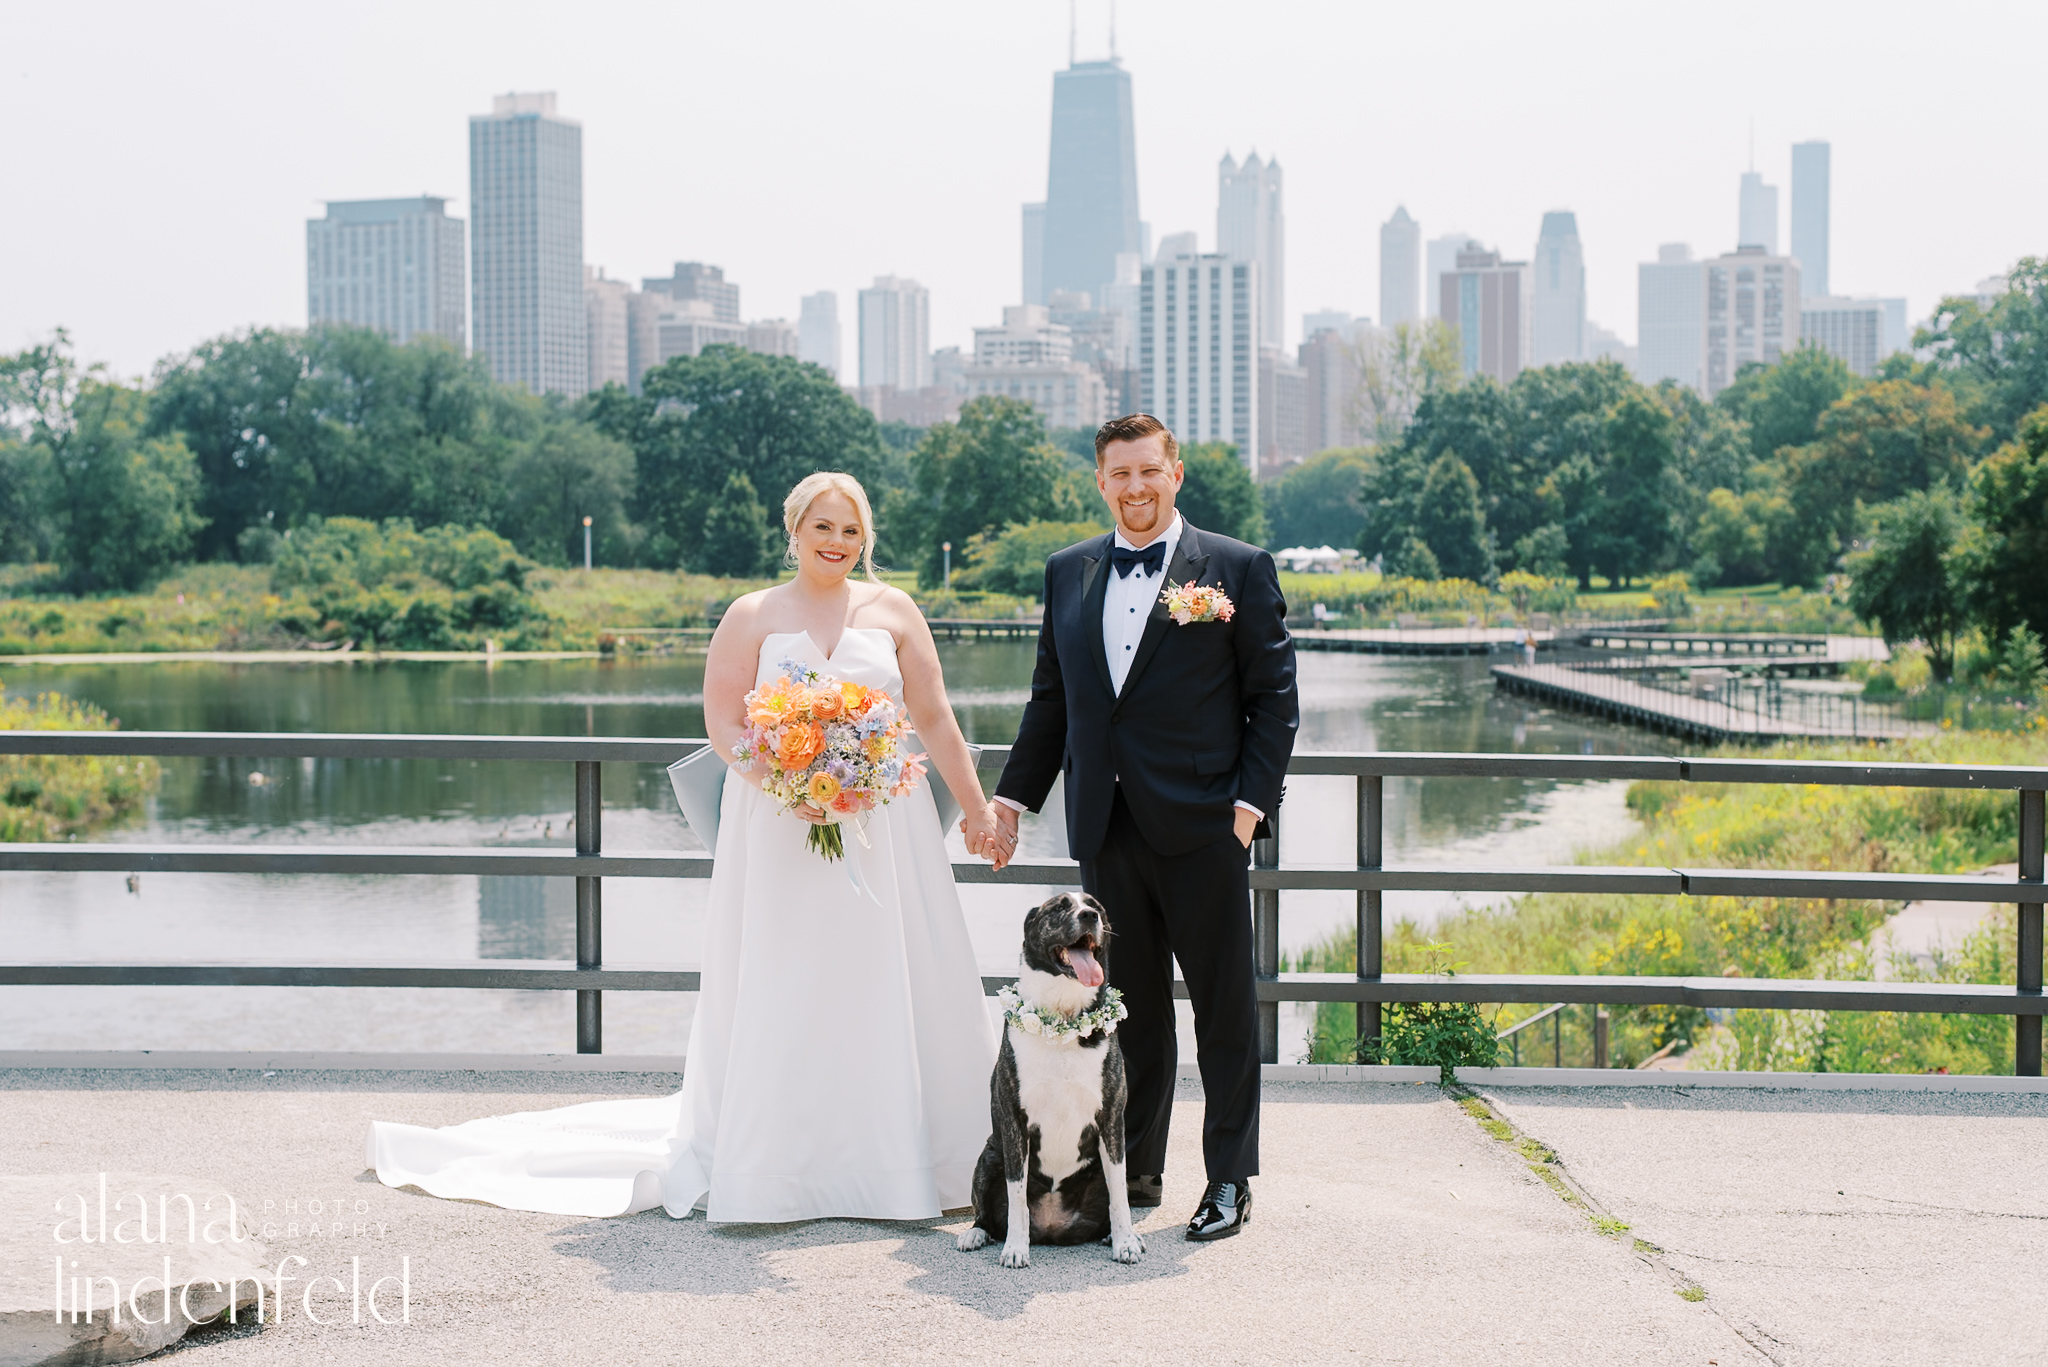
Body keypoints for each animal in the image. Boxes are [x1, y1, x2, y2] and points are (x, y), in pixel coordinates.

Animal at [954, 893, 1146, 1270]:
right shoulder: (1015, 1123)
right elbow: (1016, 1197)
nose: (1088, 916)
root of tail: (1053, 1228)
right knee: (987, 1214)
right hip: (990, 1156)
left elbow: (1119, 1197)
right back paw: (976, 1234)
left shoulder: (1111, 1121)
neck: (1063, 1020)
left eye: (1096, 907)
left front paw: (1125, 1242)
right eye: (1059, 908)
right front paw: (1016, 1248)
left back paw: (1114, 1236)